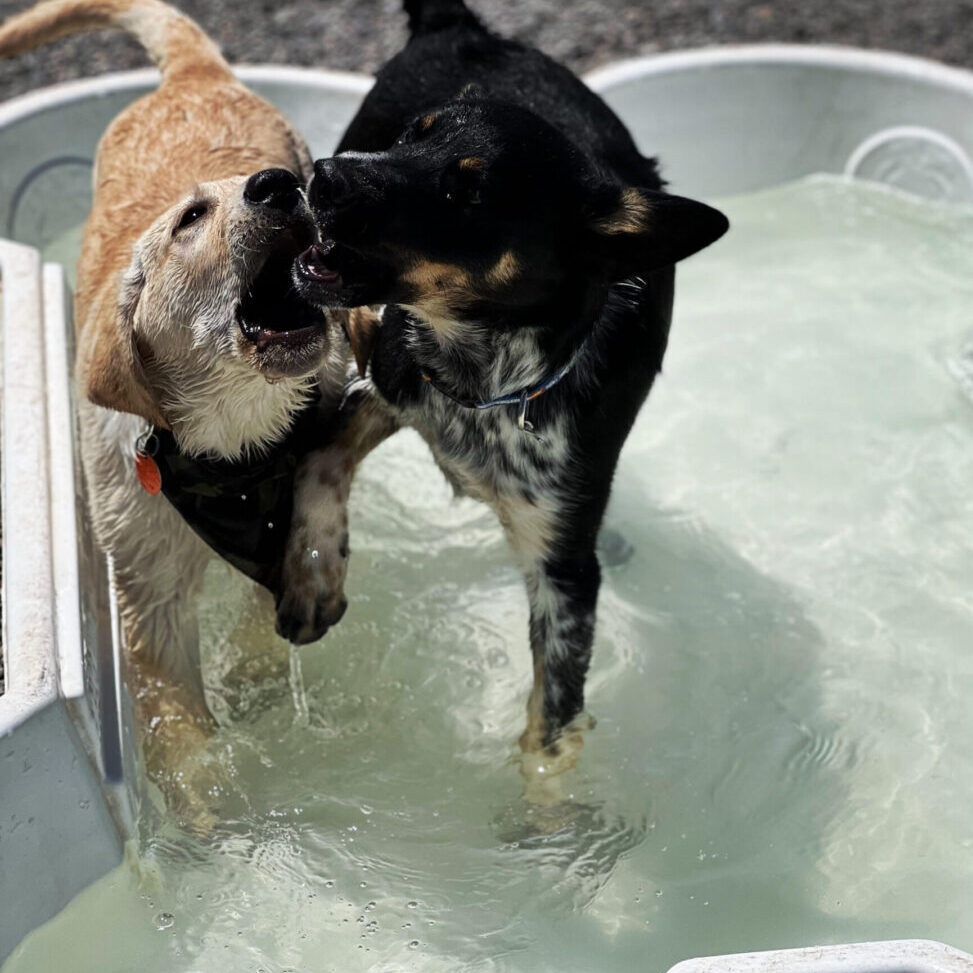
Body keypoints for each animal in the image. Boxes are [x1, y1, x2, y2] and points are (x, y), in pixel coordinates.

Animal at [290, 0, 728, 760]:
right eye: (412, 135)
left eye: (467, 191)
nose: (321, 175)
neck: (487, 376)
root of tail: (463, 26)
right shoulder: (389, 381)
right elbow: (321, 458)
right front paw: (314, 574)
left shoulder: (563, 574)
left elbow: (550, 726)